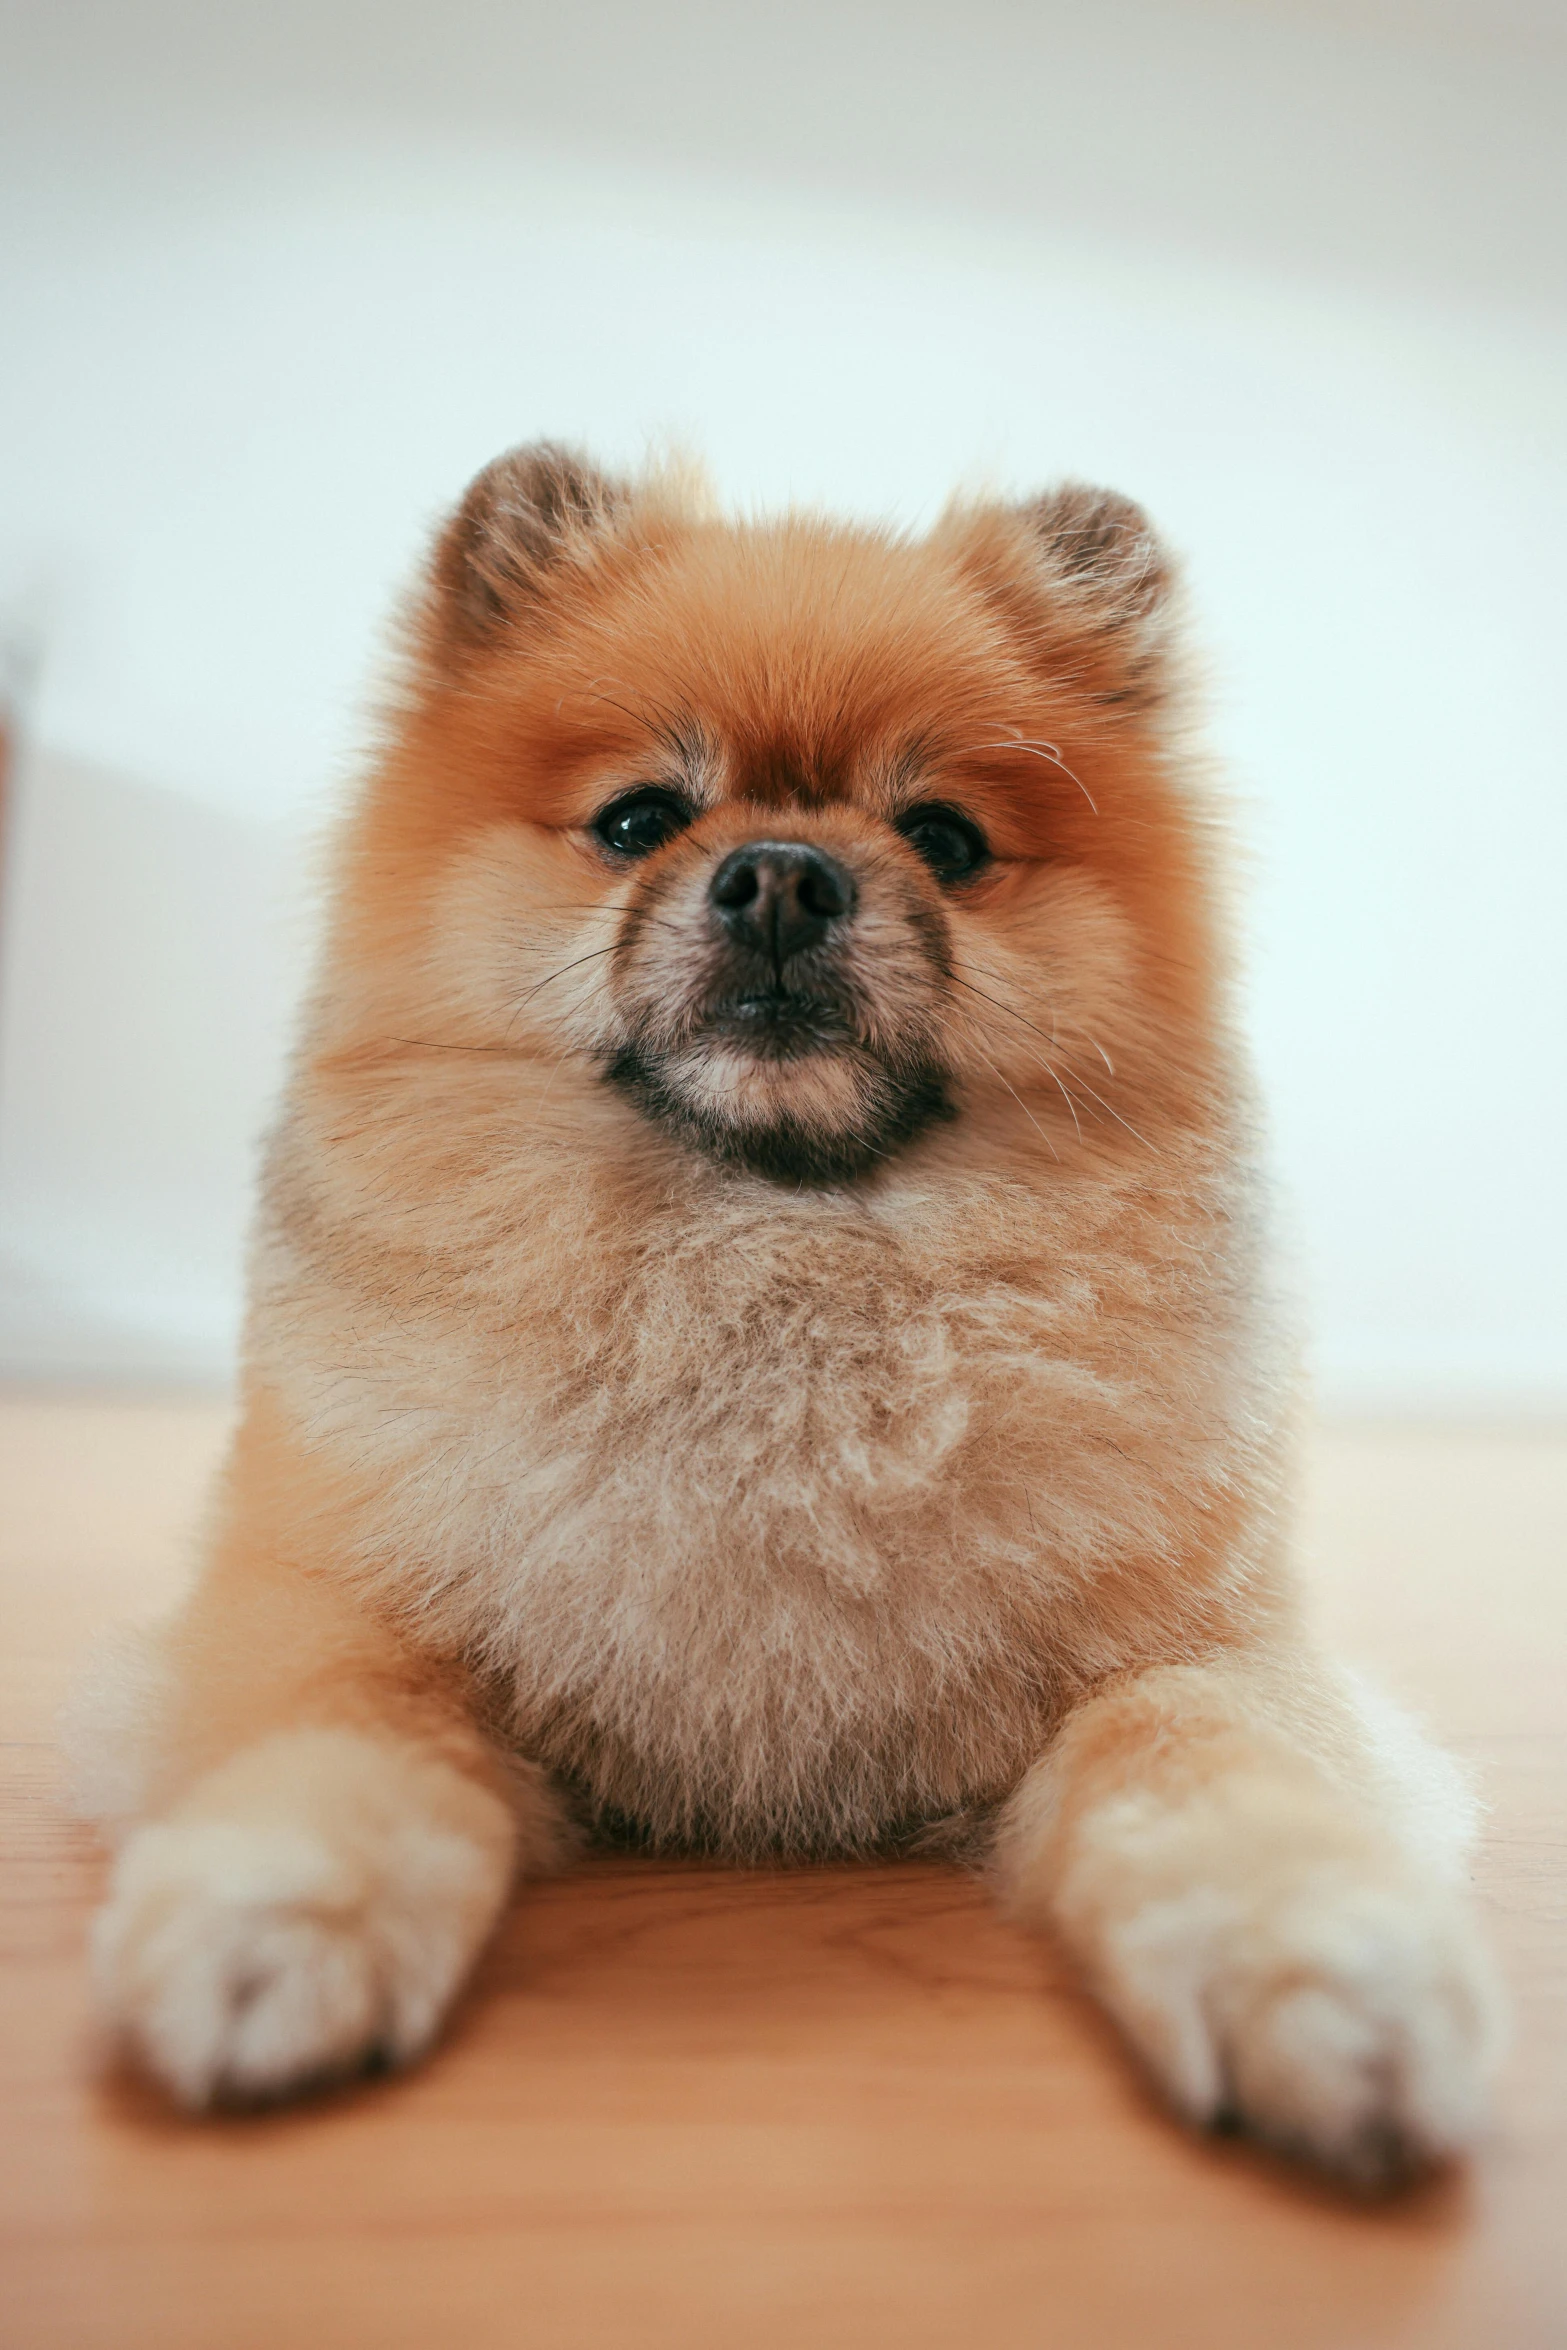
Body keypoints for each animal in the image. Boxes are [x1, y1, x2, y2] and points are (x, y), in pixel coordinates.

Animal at [79, 444, 1503, 2180]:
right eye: (638, 818)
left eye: (944, 837)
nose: (777, 876)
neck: (774, 1256)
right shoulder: (323, 1593)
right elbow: (342, 1728)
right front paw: (271, 1911)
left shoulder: (1195, 1649)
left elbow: (1208, 1762)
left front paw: (1326, 1960)